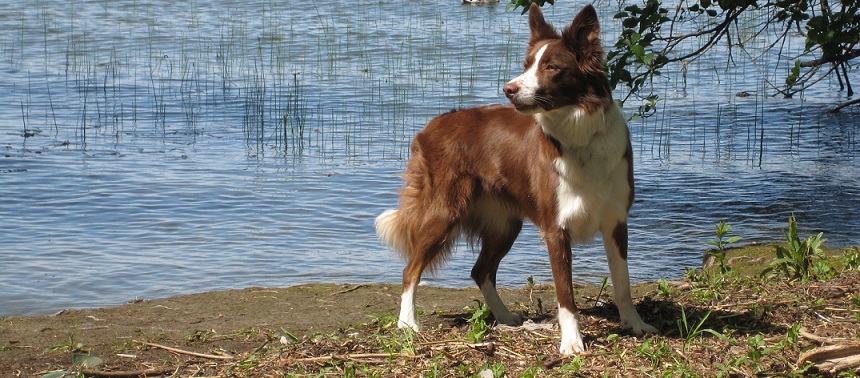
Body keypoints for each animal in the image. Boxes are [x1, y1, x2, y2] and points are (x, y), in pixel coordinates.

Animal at [374, 2, 660, 354]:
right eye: (527, 65)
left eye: (551, 67)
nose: (508, 89)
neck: (579, 137)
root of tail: (430, 126)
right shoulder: (556, 229)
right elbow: (565, 294)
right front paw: (572, 343)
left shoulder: (616, 222)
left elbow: (623, 283)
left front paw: (634, 324)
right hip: (444, 212)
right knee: (410, 269)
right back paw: (408, 323)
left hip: (505, 224)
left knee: (480, 270)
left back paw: (505, 317)